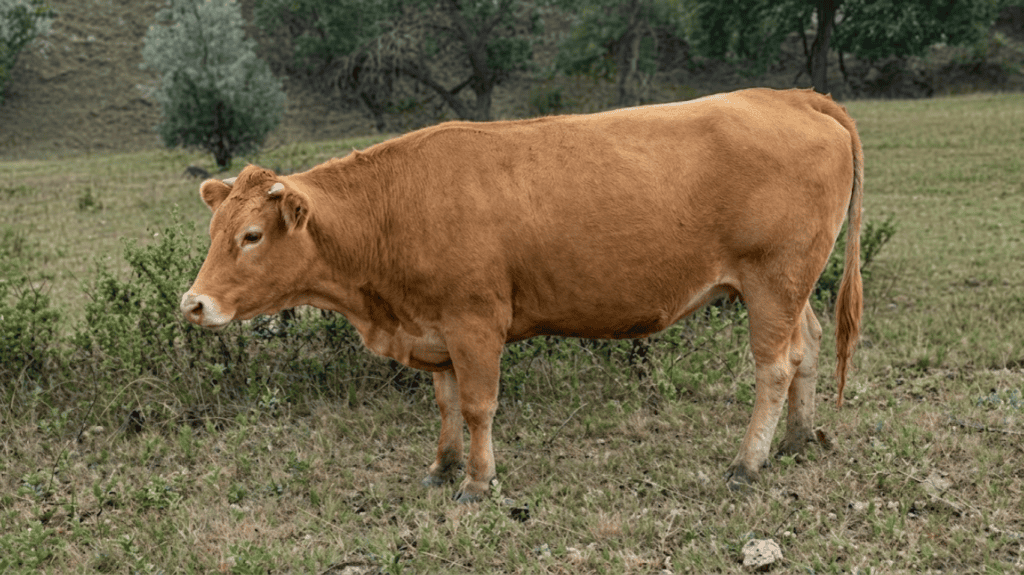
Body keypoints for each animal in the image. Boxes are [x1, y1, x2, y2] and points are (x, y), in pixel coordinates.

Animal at [180, 88, 863, 502]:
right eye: (213, 232)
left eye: (250, 235)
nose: (193, 304)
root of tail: (788, 96)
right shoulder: (434, 328)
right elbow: (445, 405)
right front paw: (442, 469)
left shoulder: (474, 321)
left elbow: (478, 405)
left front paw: (478, 483)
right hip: (792, 284)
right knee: (806, 345)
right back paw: (798, 440)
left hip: (772, 279)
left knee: (774, 366)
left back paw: (748, 463)